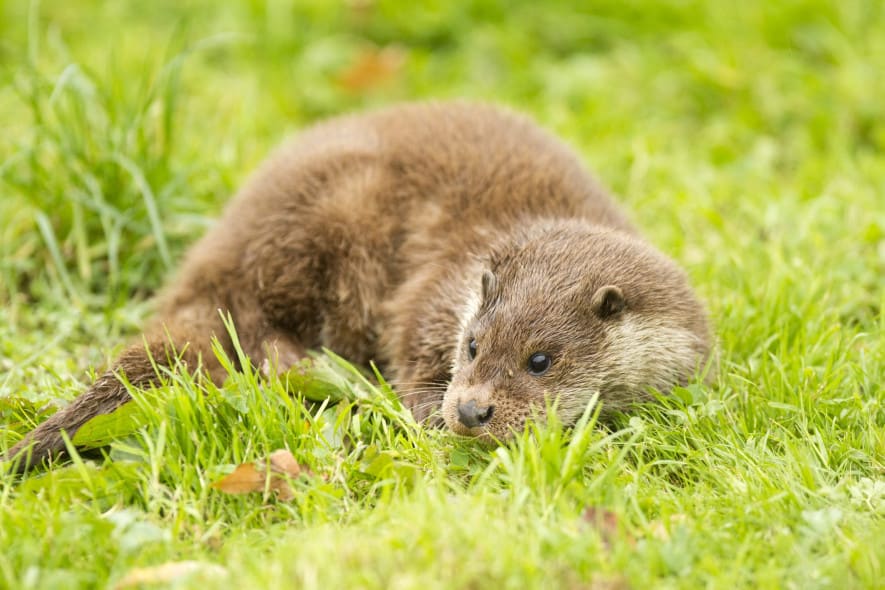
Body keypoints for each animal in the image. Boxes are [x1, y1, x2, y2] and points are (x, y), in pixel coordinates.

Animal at [4, 102, 711, 471]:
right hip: (331, 217)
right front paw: (423, 410)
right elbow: (409, 347)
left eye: (541, 360)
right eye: (473, 346)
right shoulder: (431, 294)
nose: (470, 410)